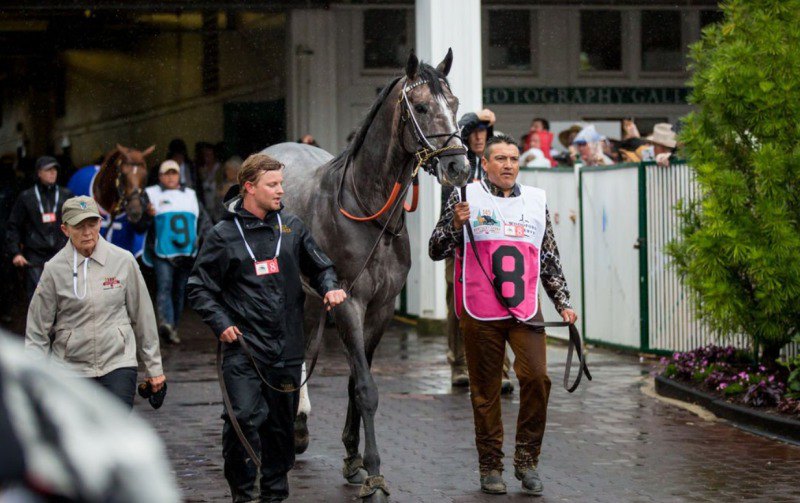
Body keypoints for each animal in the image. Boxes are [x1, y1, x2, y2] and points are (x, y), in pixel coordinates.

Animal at [264, 50, 468, 500]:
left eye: (455, 103)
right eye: (421, 107)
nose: (459, 166)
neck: (367, 210)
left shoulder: (380, 308)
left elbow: (356, 382)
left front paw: (352, 458)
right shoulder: (349, 303)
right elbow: (365, 388)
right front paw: (374, 473)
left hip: (311, 298)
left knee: (306, 349)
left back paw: (299, 428)